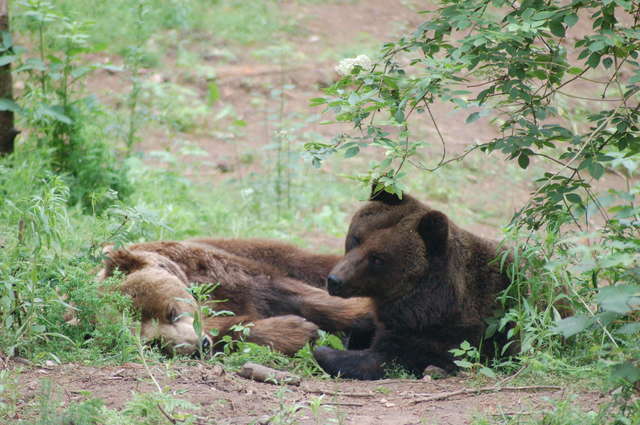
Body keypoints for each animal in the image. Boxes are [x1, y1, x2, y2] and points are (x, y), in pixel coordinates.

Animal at [99, 238, 375, 356]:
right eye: (154, 343)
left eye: (171, 312)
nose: (198, 345)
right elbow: (237, 332)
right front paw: (297, 330)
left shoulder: (219, 273)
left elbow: (298, 296)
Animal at [313, 188, 514, 380]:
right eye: (356, 238)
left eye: (377, 258)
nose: (335, 280)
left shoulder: (443, 333)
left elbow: (385, 358)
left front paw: (324, 351)